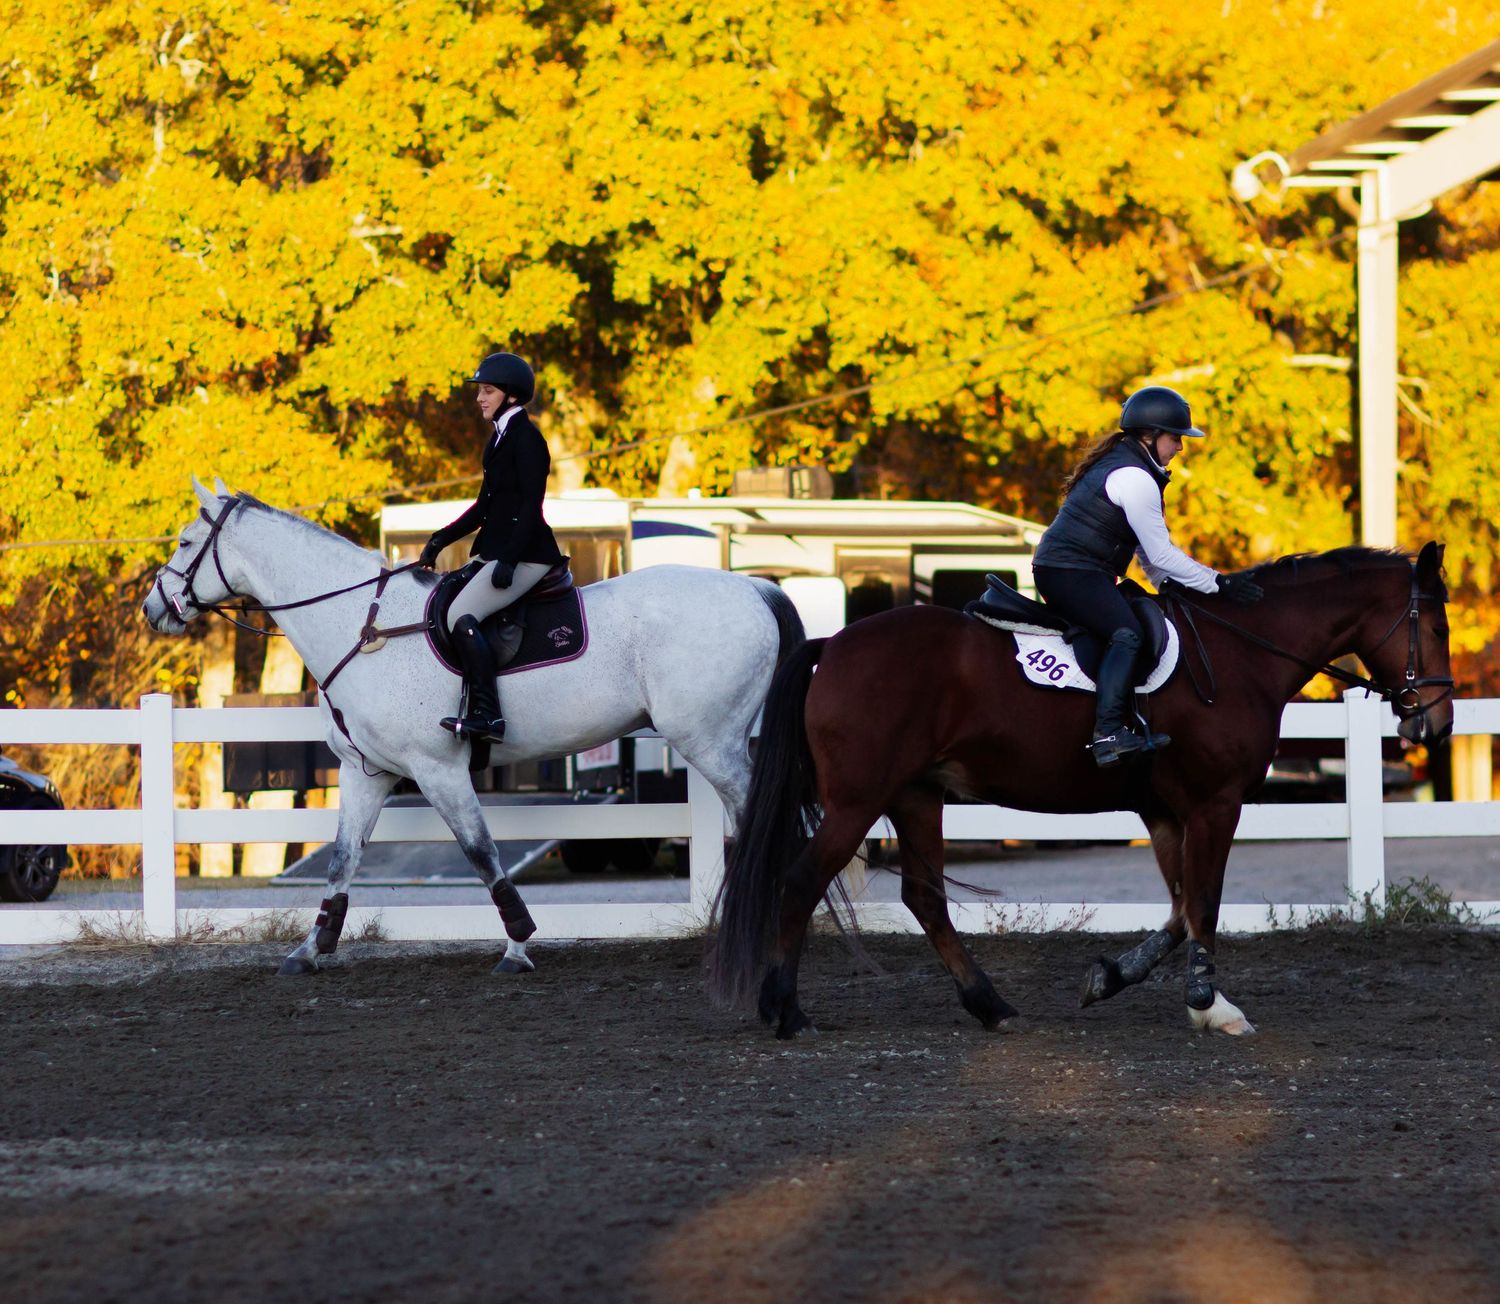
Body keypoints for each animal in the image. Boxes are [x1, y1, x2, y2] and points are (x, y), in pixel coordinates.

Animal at [143, 477, 803, 976]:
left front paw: (517, 946)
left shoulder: (438, 768)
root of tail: (754, 587)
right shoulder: (366, 772)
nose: (154, 610)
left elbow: (481, 853)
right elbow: (342, 859)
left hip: (711, 742)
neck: (365, 628)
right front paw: (310, 950)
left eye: (184, 541)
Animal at [708, 543, 1454, 1038]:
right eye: (1437, 625)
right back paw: (786, 1011)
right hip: (859, 801)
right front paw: (1212, 1006)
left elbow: (1181, 911)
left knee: (925, 900)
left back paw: (990, 1005)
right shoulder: (1214, 804)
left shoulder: (1165, 812)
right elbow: (1205, 905)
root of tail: (832, 644)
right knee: (801, 880)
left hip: (916, 796)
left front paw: (1110, 979)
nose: (1437, 722)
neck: (1243, 654)